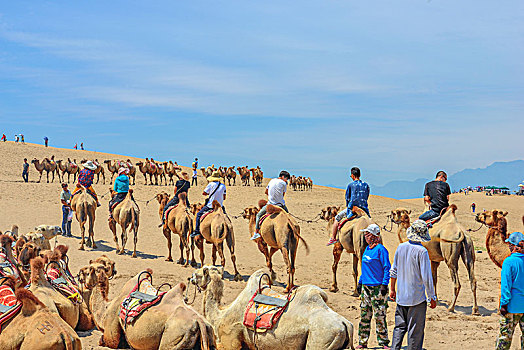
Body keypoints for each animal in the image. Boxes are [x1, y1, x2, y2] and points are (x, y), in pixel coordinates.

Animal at [190, 266, 354, 348]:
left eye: (198, 274)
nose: (189, 278)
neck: (220, 315)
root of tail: (345, 324)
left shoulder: (231, 340)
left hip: (321, 338)